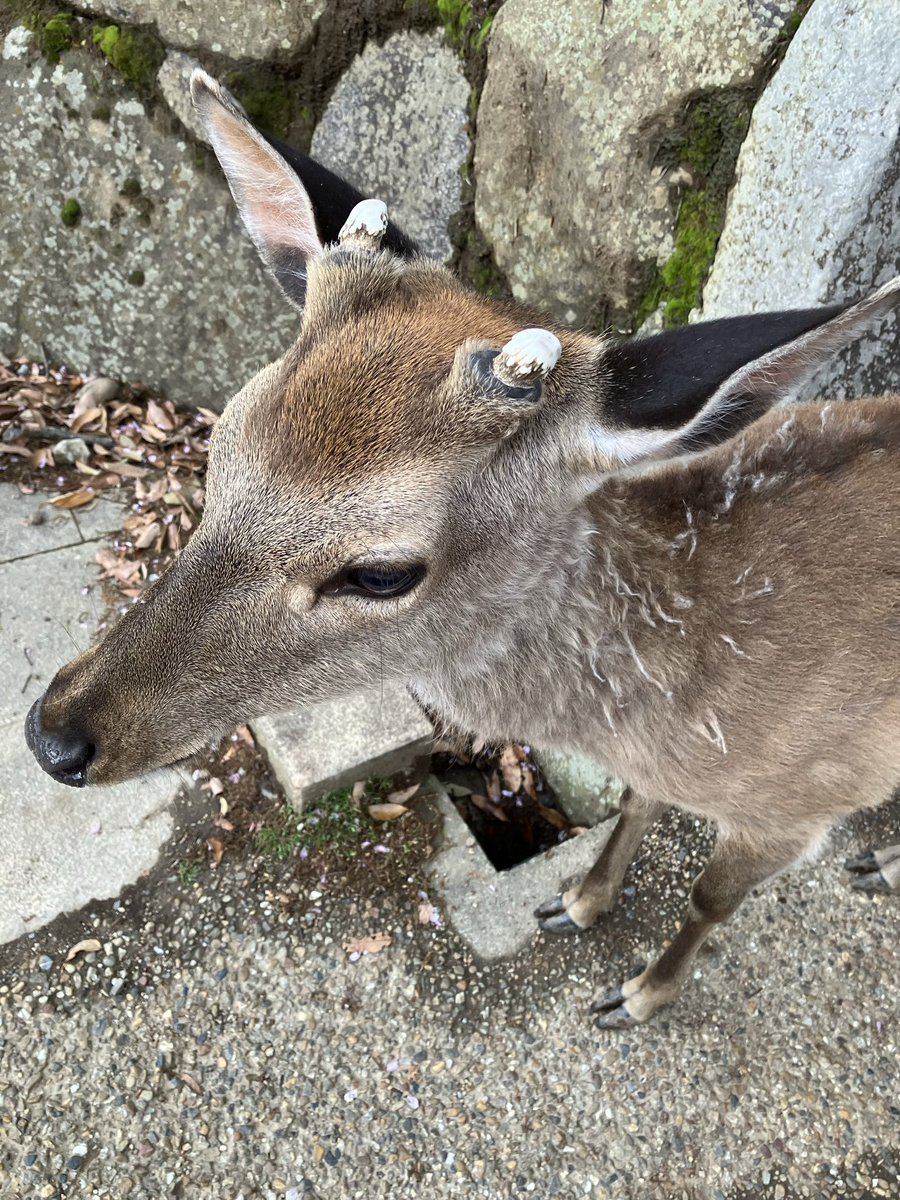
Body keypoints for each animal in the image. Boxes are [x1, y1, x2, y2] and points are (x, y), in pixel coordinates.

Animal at [24, 70, 900, 1027]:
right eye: (219, 448)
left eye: (379, 571)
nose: (55, 736)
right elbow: (637, 804)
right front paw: (578, 903)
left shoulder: (805, 796)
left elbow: (711, 896)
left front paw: (638, 996)